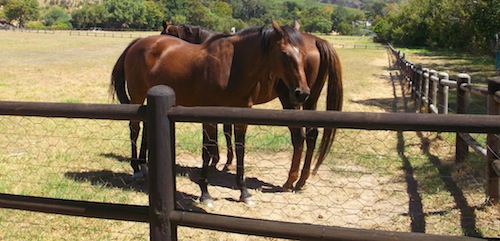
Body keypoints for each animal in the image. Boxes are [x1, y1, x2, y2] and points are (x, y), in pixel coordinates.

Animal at [111, 20, 310, 205]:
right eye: (284, 53)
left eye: (303, 54)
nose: (302, 92)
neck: (232, 67)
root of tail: (138, 42)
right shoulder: (209, 116)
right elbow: (207, 150)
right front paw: (205, 193)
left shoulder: (241, 117)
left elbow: (240, 150)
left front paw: (244, 192)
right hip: (138, 95)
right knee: (134, 128)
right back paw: (136, 169)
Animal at [162, 21, 342, 193]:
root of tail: (318, 41)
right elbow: (227, 131)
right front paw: (224, 161)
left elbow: (221, 133)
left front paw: (217, 161)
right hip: (309, 101)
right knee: (312, 135)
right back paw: (302, 180)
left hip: (291, 101)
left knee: (299, 137)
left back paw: (290, 180)